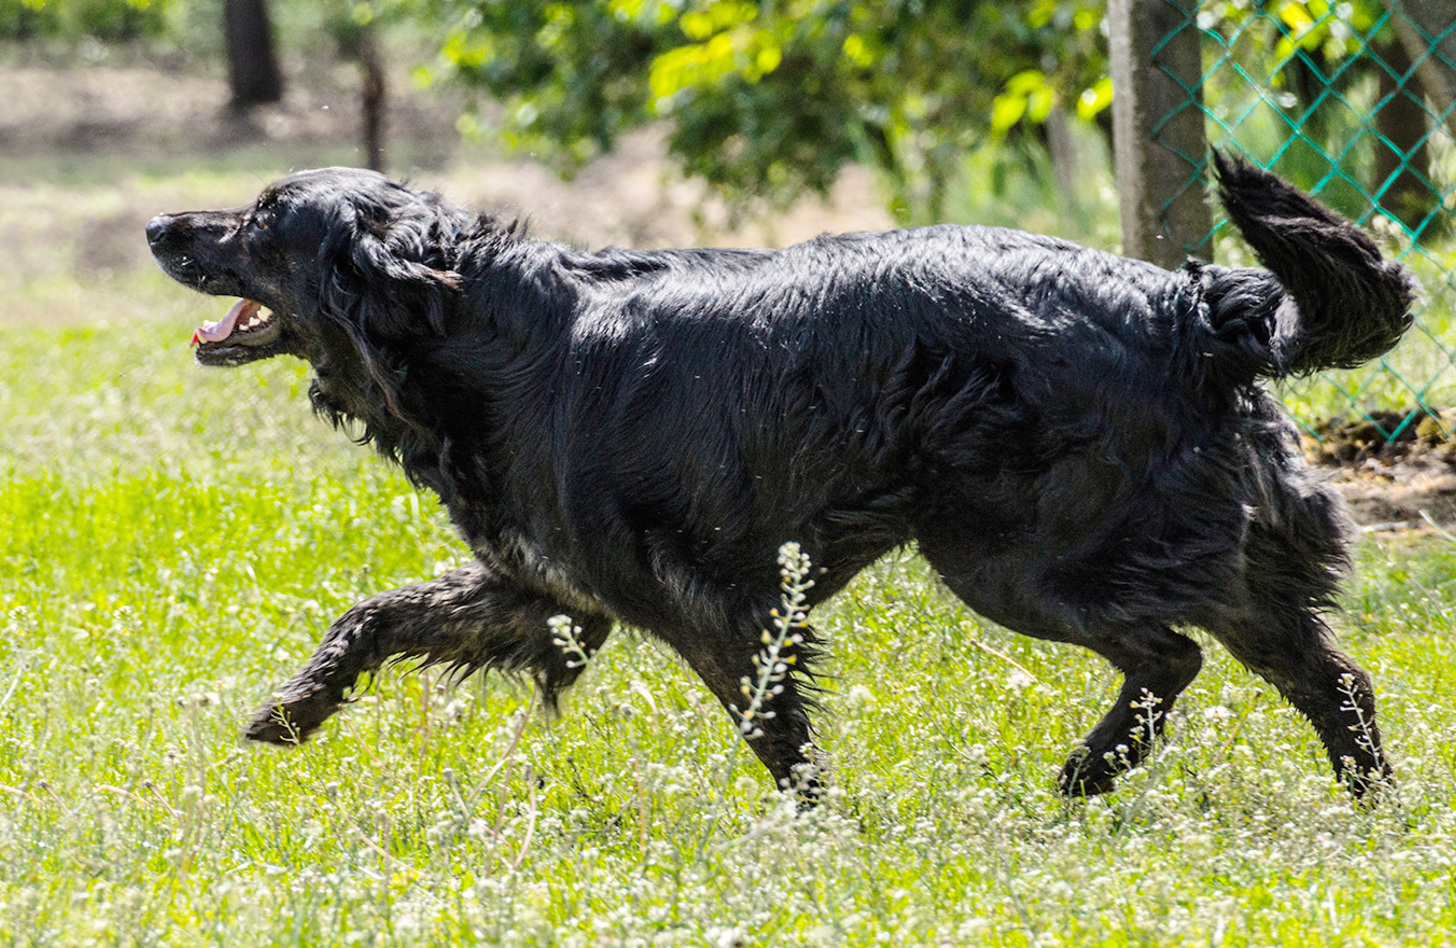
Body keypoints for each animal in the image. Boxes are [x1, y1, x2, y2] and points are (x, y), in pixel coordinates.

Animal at [147, 157, 1409, 803]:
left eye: (262, 219)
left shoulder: (715, 605)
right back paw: (1367, 810)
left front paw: (821, 841)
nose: (161, 223)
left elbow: (774, 733)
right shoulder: (546, 591)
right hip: (1208, 558)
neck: (492, 341)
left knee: (1174, 657)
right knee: (1328, 678)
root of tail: (1188, 310)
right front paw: (288, 714)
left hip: (1014, 561)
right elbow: (370, 617)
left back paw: (1085, 773)